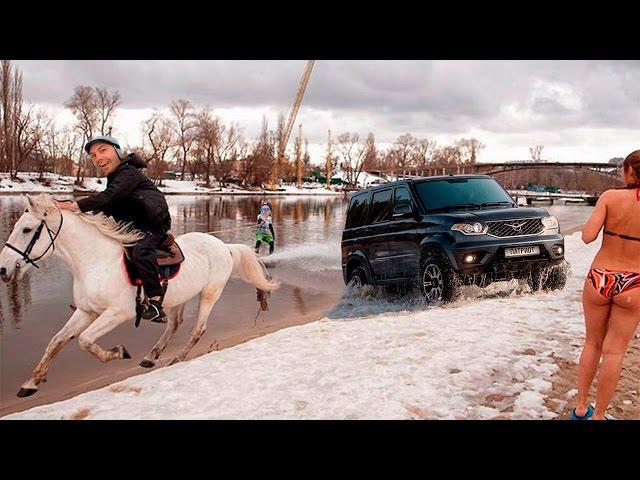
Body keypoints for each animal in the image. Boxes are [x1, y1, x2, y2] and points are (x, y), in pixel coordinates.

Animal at [0, 192, 280, 398]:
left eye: (27, 229)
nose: (3, 270)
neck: (95, 262)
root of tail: (225, 246)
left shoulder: (117, 313)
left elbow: (85, 340)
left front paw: (119, 352)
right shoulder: (86, 311)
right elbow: (57, 341)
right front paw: (31, 383)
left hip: (210, 293)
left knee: (197, 330)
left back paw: (175, 358)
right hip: (179, 297)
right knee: (174, 325)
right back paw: (151, 356)